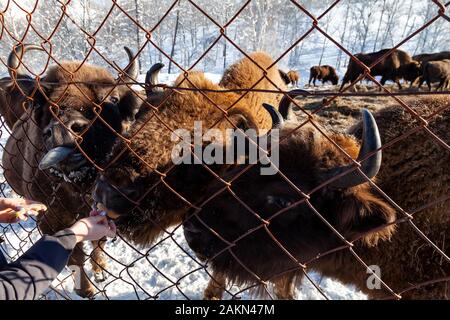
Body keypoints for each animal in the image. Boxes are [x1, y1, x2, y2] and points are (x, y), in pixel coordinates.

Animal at [0, 45, 142, 298]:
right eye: (42, 103)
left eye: (113, 99)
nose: (62, 130)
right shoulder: (52, 220)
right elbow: (74, 254)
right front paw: (86, 290)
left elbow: (98, 242)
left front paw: (100, 270)